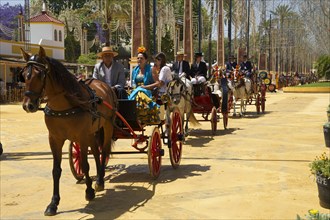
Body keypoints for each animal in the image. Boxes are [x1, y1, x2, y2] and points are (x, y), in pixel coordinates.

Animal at [19, 46, 117, 217]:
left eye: (40, 74)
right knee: (96, 152)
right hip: (92, 132)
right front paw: (53, 203)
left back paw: (100, 181)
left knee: (103, 151)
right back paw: (99, 178)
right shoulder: (54, 139)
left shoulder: (82, 137)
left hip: (107, 126)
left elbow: (85, 165)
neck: (64, 105)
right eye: (24, 75)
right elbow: (56, 170)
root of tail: (104, 85)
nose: (28, 105)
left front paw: (89, 191)